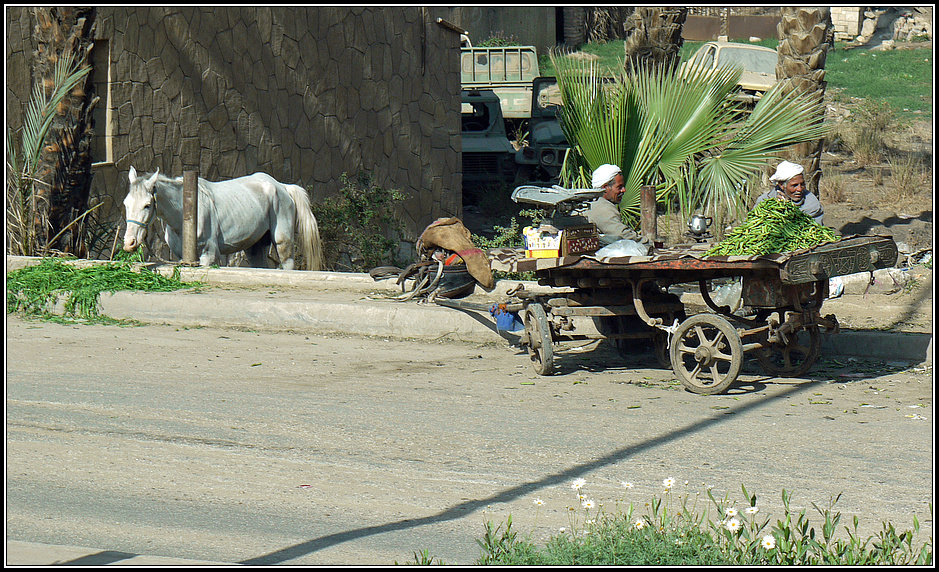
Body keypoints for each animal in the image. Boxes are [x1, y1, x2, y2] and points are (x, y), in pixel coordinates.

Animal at [125, 166, 324, 272]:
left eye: (147, 205)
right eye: (126, 203)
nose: (129, 243)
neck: (185, 215)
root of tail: (282, 186)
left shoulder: (209, 254)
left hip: (283, 242)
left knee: (287, 263)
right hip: (256, 246)